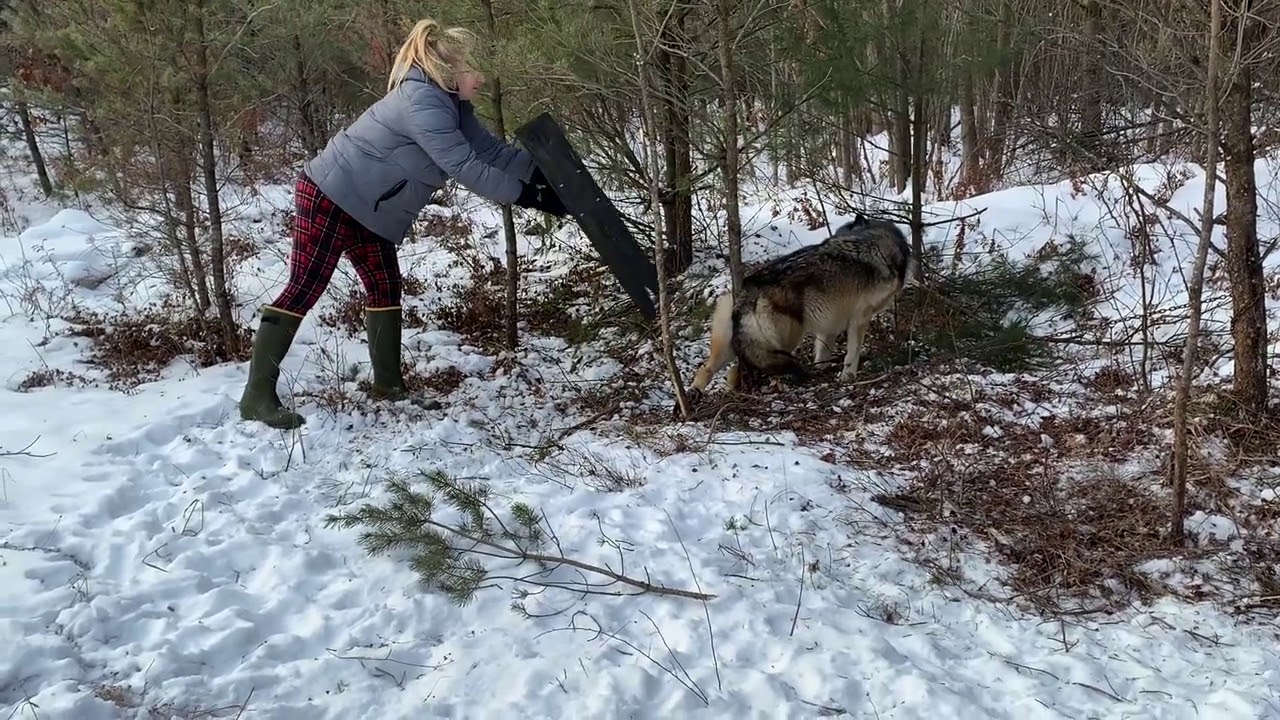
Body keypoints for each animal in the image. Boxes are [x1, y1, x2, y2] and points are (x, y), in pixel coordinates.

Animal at [683, 213, 917, 405]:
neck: (878, 243)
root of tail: (749, 288)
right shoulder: (860, 317)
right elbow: (852, 353)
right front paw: (847, 377)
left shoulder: (829, 324)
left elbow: (822, 352)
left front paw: (822, 369)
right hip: (784, 341)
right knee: (741, 370)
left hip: (731, 345)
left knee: (707, 369)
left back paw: (692, 397)